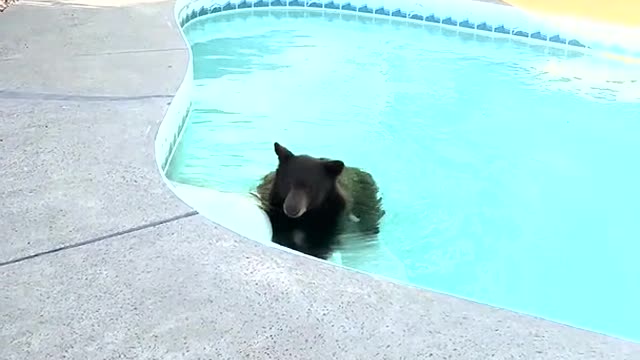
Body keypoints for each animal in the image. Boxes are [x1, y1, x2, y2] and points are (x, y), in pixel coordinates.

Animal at [252, 142, 384, 260]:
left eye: (311, 187)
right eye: (288, 183)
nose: (291, 209)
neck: (305, 217)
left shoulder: (331, 219)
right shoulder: (277, 213)